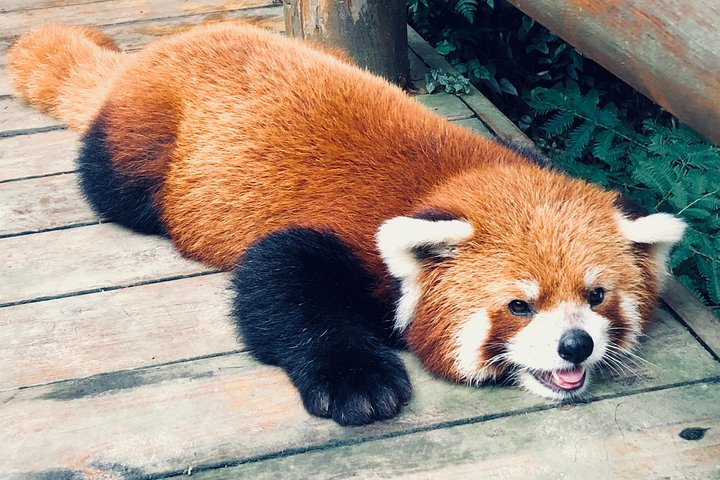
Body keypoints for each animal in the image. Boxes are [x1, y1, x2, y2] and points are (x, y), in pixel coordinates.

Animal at [8, 23, 686, 425]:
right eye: (519, 306)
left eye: (596, 297)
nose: (576, 345)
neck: (454, 182)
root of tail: (162, 47)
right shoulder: (340, 238)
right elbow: (279, 280)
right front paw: (357, 382)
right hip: (142, 148)